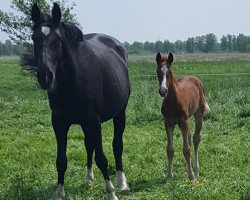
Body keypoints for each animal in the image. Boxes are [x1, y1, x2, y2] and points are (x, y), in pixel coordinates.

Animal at [30, 3, 130, 200]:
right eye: (33, 37)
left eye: (58, 39)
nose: (45, 76)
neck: (73, 81)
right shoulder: (59, 123)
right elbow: (61, 160)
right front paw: (59, 192)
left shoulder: (94, 121)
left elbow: (102, 157)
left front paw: (111, 192)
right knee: (88, 144)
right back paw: (89, 179)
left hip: (119, 113)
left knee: (117, 145)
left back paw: (122, 183)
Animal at [155, 52, 210, 180]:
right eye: (157, 71)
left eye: (170, 72)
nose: (163, 90)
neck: (173, 101)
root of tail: (195, 79)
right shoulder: (168, 123)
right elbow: (170, 149)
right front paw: (169, 176)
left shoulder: (183, 122)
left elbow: (186, 149)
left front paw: (191, 176)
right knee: (189, 139)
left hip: (198, 114)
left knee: (195, 139)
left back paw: (196, 170)